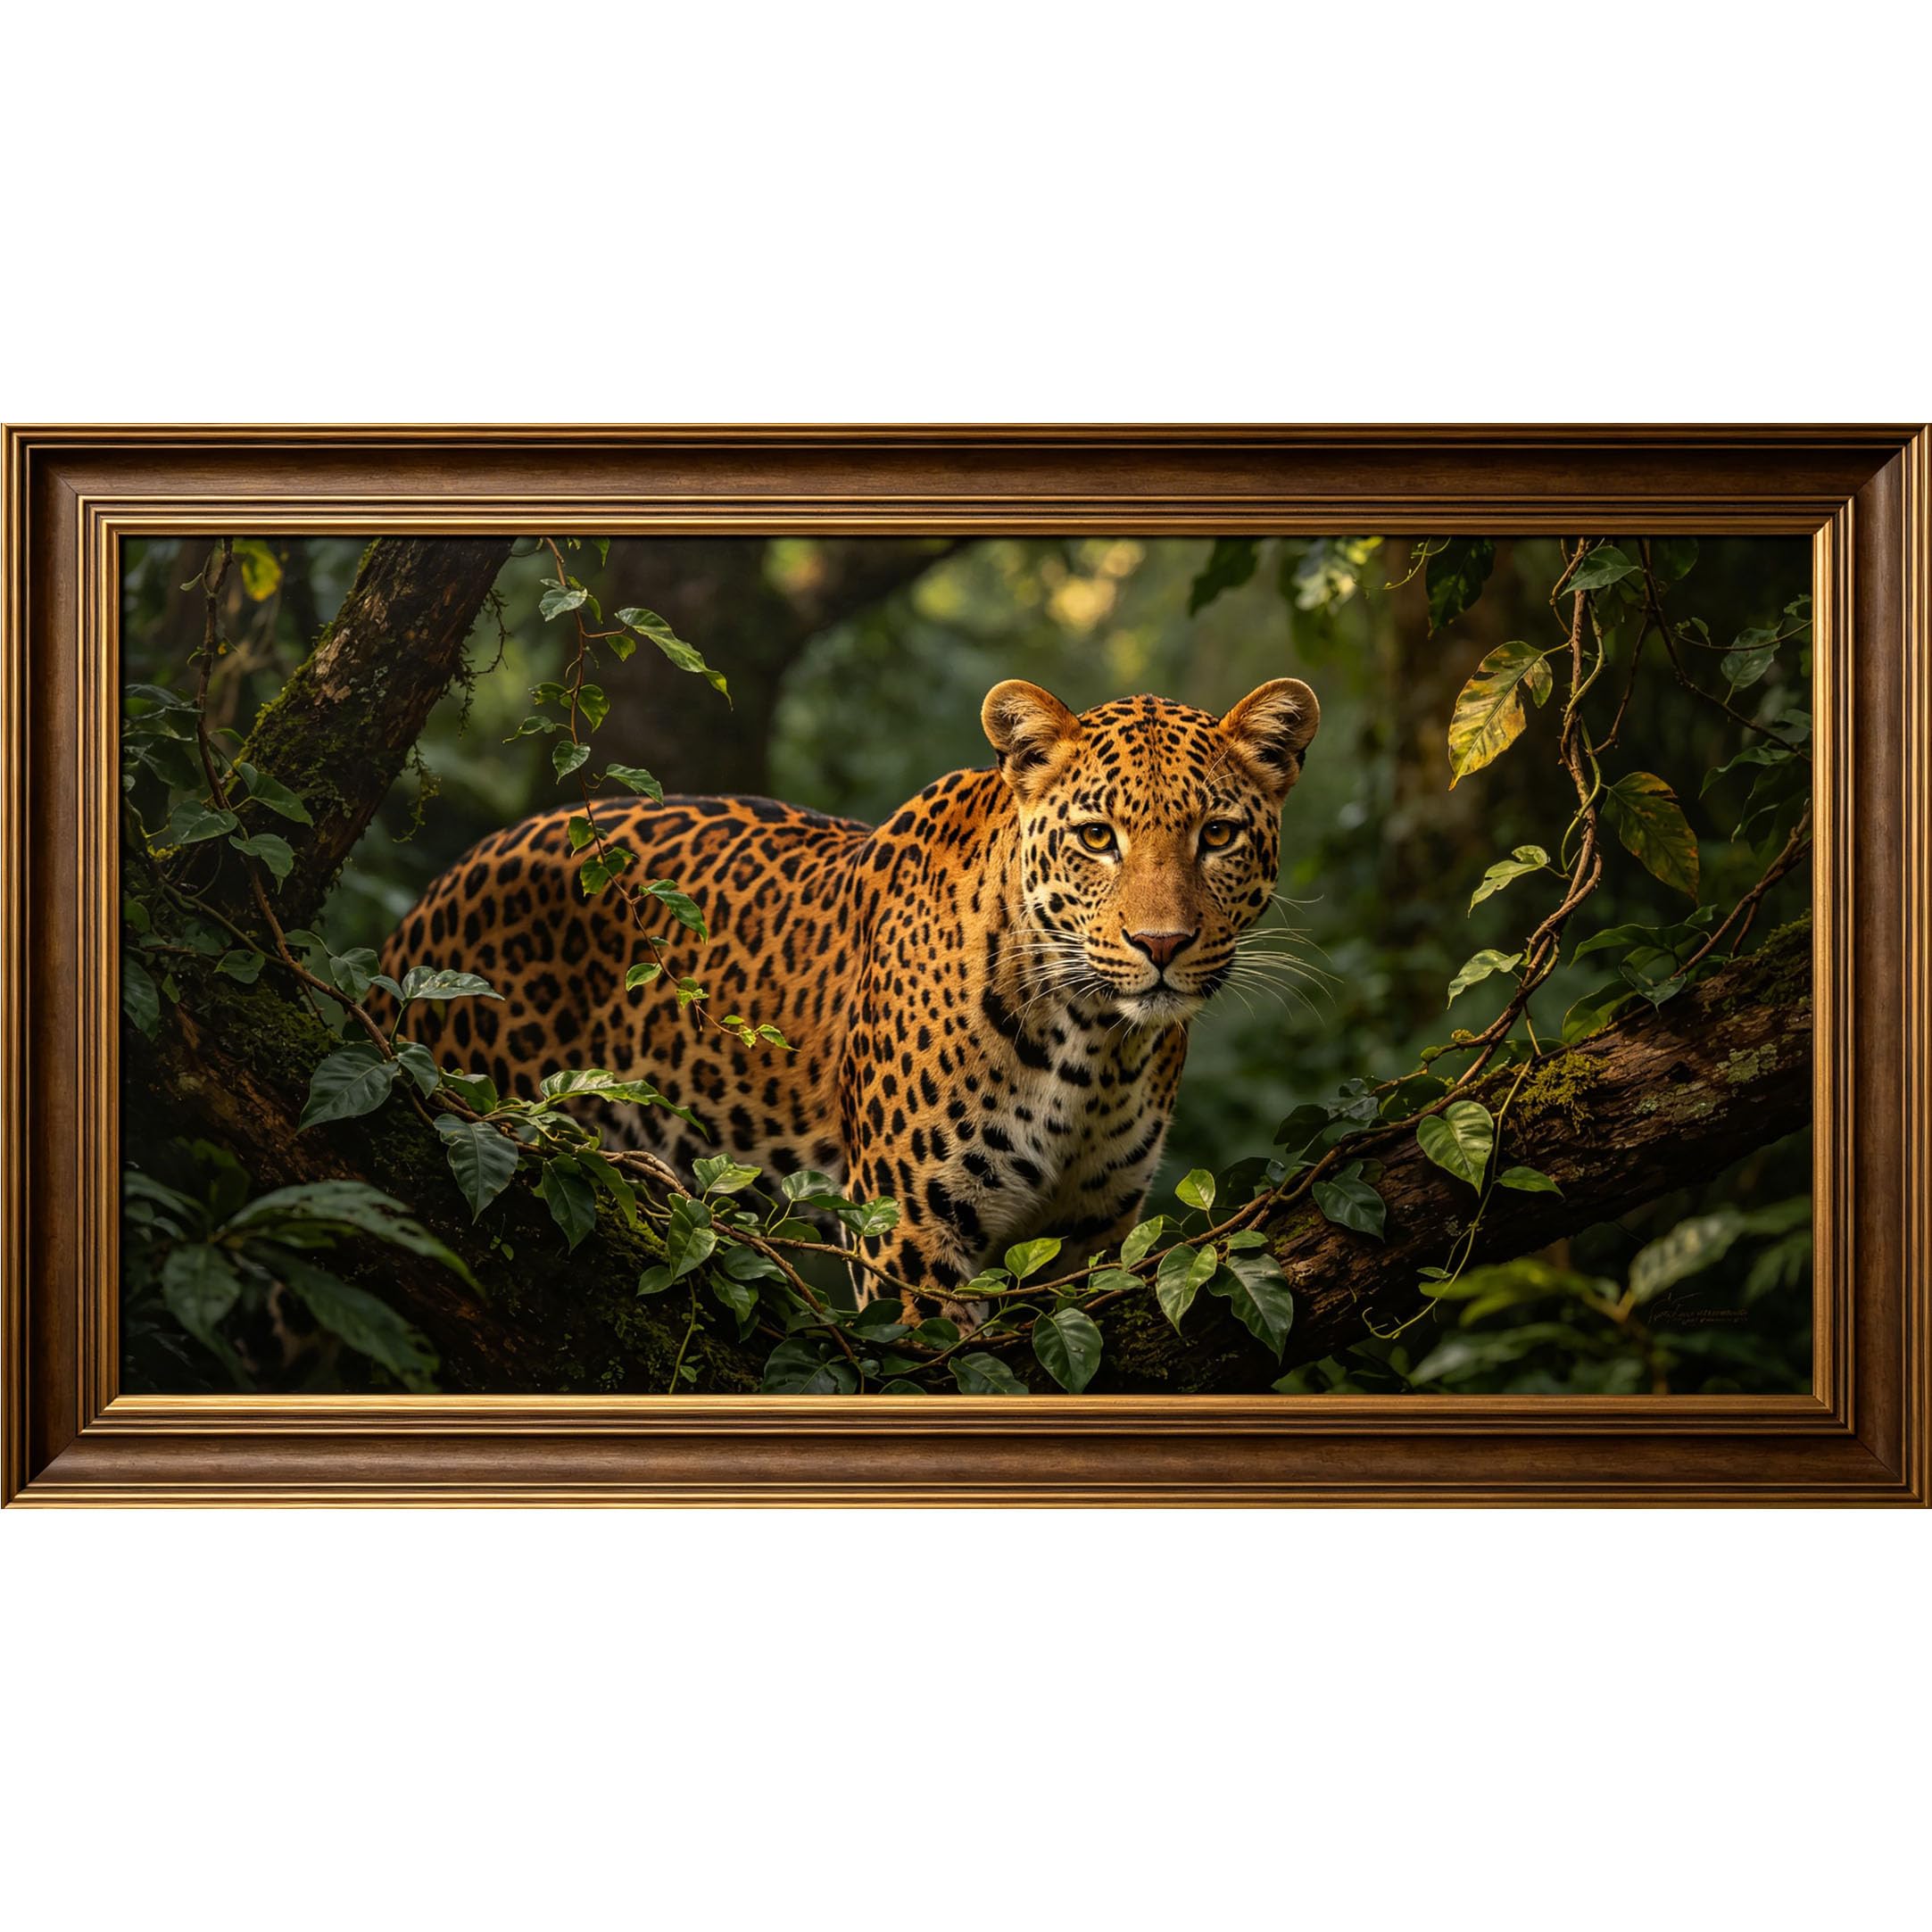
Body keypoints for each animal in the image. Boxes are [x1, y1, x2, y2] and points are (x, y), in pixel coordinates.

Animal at [382, 676, 1321, 1303]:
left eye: (1218, 834)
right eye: (1097, 837)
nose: (1161, 944)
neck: (1092, 1043)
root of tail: (430, 898)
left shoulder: (1088, 1237)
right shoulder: (910, 1234)